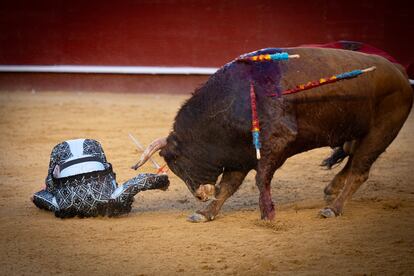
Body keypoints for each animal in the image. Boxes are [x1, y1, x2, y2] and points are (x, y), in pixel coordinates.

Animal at [132, 47, 410, 222]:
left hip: (380, 133)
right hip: (358, 134)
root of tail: (398, 71)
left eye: (176, 163)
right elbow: (228, 186)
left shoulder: (277, 143)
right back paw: (332, 189)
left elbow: (260, 178)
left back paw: (333, 208)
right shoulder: (239, 155)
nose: (200, 196)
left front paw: (267, 214)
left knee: (360, 171)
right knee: (353, 160)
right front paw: (205, 213)